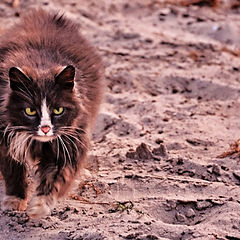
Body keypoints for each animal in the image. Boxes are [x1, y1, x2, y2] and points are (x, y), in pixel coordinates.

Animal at [0, 8, 103, 218]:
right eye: (30, 110)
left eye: (58, 110)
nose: (46, 128)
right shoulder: (6, 139)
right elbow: (13, 172)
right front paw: (15, 200)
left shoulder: (68, 145)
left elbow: (56, 178)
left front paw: (39, 207)